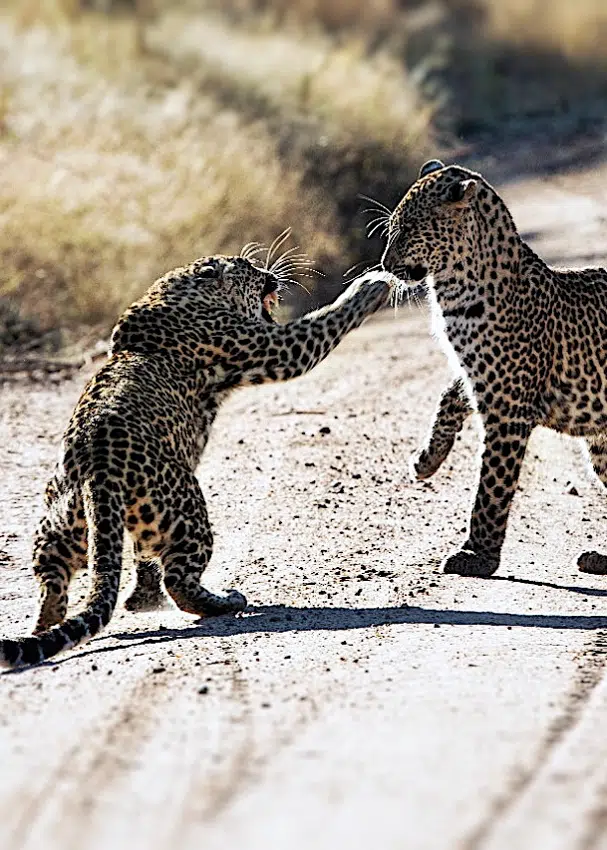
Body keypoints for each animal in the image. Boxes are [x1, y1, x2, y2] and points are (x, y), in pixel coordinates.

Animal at [0, 252, 391, 667]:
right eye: (250, 268)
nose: (270, 275)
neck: (178, 291)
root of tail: (99, 469)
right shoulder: (271, 348)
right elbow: (323, 322)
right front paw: (371, 287)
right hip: (186, 512)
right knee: (179, 581)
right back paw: (226, 601)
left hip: (61, 526)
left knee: (54, 578)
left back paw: (58, 621)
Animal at [381, 158, 607, 578]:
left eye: (409, 229)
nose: (386, 265)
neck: (452, 289)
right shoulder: (476, 374)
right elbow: (449, 397)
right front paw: (427, 460)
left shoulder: (508, 408)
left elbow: (492, 487)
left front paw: (477, 555)